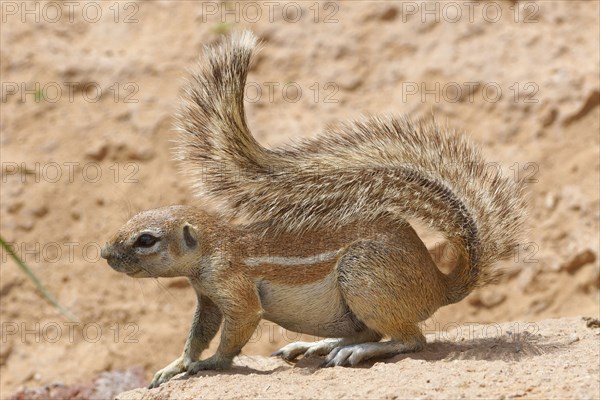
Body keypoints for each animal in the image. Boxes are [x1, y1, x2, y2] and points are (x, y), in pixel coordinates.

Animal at [102, 31, 524, 388]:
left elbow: (235, 332)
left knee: (411, 339)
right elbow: (198, 334)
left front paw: (209, 364)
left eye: (146, 240)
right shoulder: (206, 297)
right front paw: (176, 365)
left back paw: (354, 351)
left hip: (365, 278)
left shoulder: (235, 288)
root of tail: (440, 284)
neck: (215, 246)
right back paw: (318, 345)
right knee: (377, 330)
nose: (105, 253)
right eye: (129, 221)